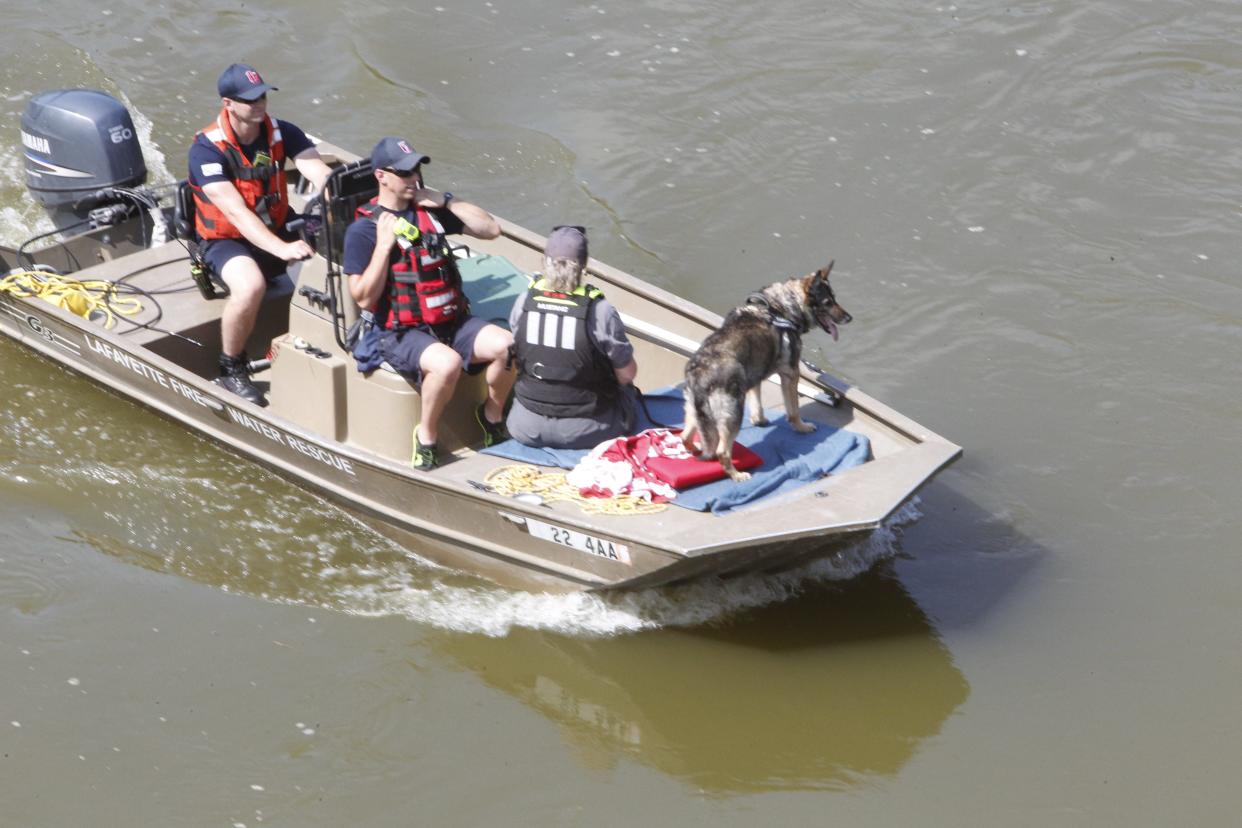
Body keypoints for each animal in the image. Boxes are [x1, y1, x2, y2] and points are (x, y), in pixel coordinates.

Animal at [685, 261, 849, 481]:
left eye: (835, 299)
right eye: (827, 302)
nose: (849, 318)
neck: (781, 307)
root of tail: (699, 374)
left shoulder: (756, 373)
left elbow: (757, 402)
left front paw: (759, 420)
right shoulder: (791, 374)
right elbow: (794, 411)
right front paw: (802, 427)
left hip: (694, 414)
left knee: (685, 437)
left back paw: (694, 451)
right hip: (732, 416)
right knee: (722, 452)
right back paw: (737, 475)